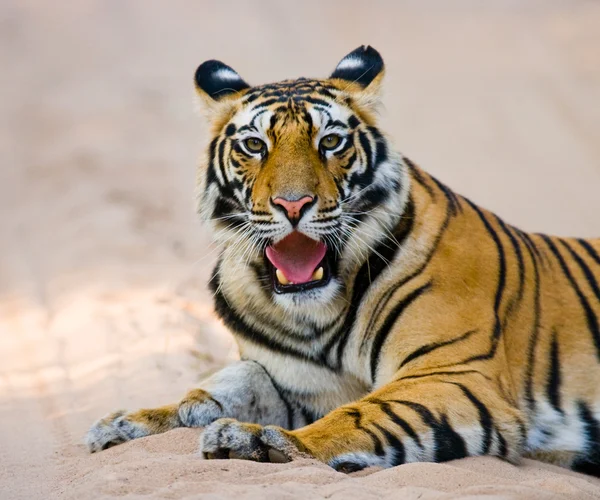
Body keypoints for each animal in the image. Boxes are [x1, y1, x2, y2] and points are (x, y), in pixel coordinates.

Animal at [84, 45, 600, 474]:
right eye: (255, 146)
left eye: (330, 143)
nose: (292, 205)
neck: (314, 316)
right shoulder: (299, 382)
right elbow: (226, 385)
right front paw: (127, 424)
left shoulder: (453, 373)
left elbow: (365, 414)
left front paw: (264, 442)